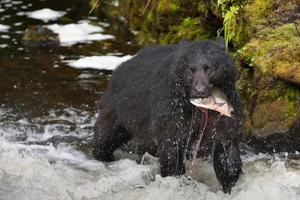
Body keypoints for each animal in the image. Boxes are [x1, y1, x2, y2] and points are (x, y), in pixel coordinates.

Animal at [93, 38, 244, 193]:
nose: (199, 90)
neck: (199, 108)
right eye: (190, 70)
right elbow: (172, 145)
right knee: (106, 134)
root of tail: (120, 67)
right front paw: (176, 177)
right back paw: (102, 155)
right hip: (120, 106)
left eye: (209, 69)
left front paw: (231, 184)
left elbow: (225, 147)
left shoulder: (226, 112)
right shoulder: (173, 111)